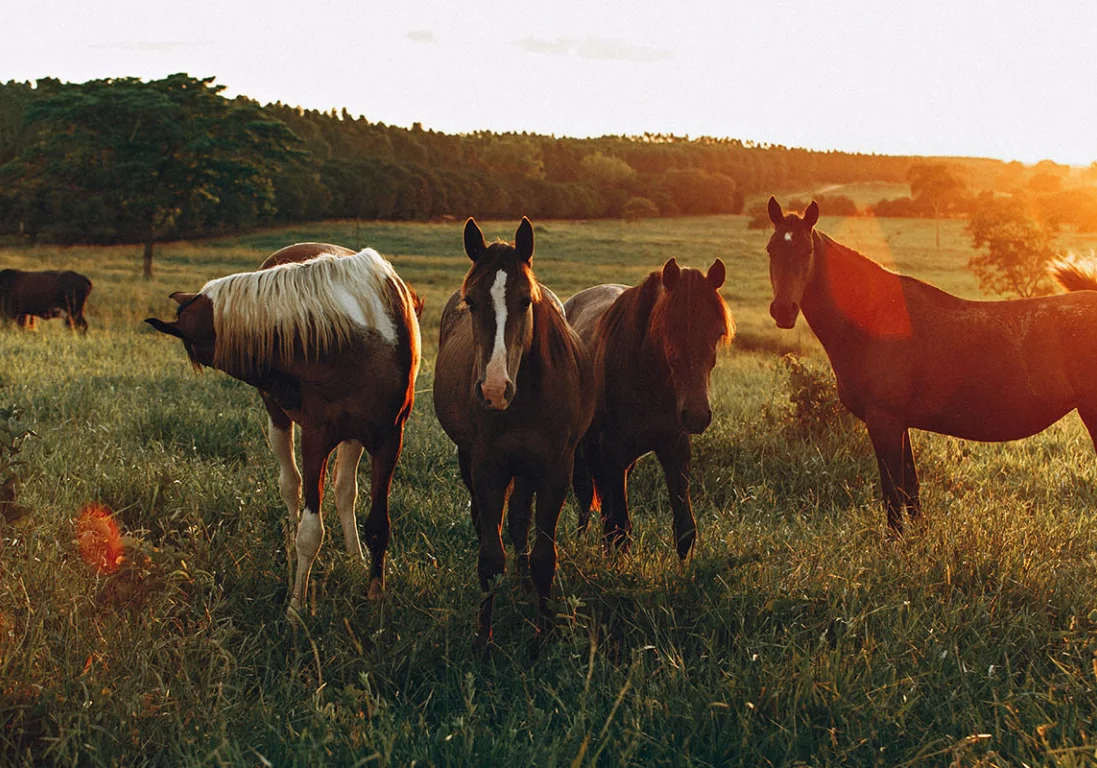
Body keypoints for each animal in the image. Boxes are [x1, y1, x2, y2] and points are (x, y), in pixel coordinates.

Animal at [145, 242, 419, 614]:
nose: (283, 390)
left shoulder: (388, 439)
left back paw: (354, 556)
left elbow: (378, 523)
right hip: (281, 423)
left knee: (344, 490)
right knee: (291, 485)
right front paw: (296, 607)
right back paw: (291, 551)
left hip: (353, 436)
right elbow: (310, 531)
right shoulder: (316, 438)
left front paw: (374, 597)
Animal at [432, 217, 596, 649]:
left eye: (525, 300)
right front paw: (483, 640)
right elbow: (490, 558)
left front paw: (544, 634)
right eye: (471, 302)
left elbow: (543, 556)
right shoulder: (488, 467)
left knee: (521, 519)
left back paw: (524, 587)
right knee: (488, 520)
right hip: (472, 461)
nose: (493, 389)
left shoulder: (556, 470)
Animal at [566, 257, 737, 557]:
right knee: (586, 498)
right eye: (668, 330)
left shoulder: (675, 449)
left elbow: (685, 529)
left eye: (717, 333)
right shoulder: (613, 450)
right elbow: (619, 529)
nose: (696, 415)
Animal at [763, 196, 1097, 533]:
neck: (877, 317)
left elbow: (893, 493)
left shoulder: (883, 421)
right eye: (771, 249)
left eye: (807, 251)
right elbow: (911, 490)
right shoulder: (900, 423)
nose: (783, 311)